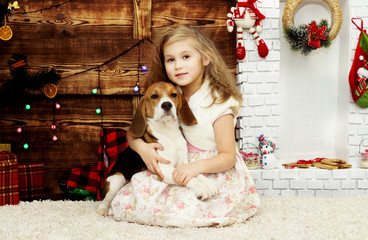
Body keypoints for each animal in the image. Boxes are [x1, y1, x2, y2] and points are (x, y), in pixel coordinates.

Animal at [97, 81, 218, 217]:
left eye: (174, 94)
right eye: (154, 96)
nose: (167, 105)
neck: (168, 132)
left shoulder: (182, 163)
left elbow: (193, 172)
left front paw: (208, 183)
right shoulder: (163, 168)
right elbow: (189, 178)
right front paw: (202, 188)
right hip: (116, 179)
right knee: (105, 200)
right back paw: (102, 210)